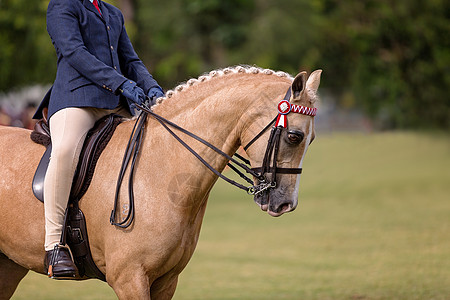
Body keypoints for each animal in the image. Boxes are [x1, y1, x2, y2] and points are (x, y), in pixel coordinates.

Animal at [1, 67, 322, 298]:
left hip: (10, 265)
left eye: (312, 139)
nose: (285, 203)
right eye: (294, 136)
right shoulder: (129, 279)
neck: (159, 167)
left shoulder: (166, 281)